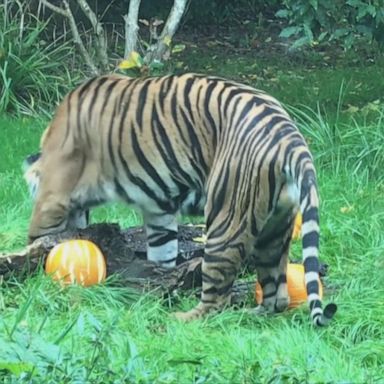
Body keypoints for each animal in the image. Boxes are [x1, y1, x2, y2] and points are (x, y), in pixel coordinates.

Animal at [24, 72, 336, 324]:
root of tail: (288, 135)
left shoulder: (52, 199)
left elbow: (39, 240)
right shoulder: (158, 210)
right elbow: (162, 251)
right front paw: (159, 281)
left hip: (226, 217)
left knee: (216, 299)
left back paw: (182, 318)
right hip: (275, 227)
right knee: (277, 296)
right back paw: (252, 313)